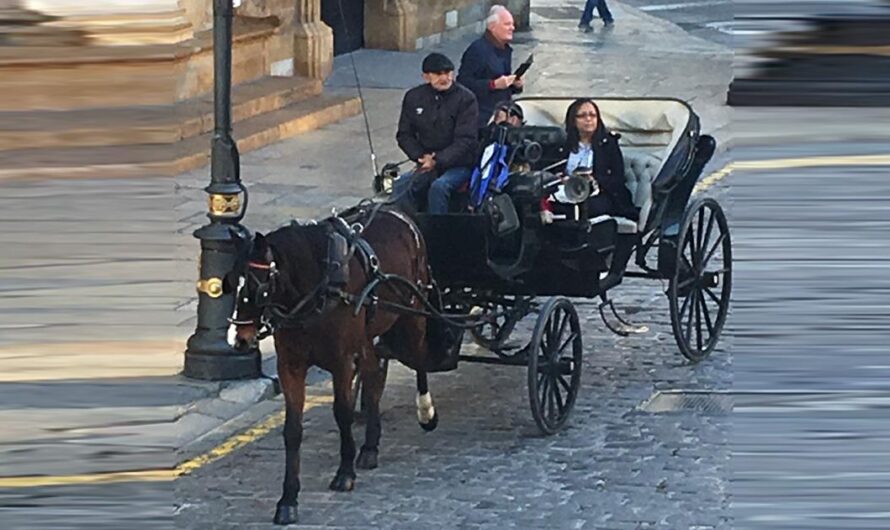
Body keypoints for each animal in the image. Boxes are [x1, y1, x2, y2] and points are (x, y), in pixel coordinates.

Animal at [232, 207, 444, 524]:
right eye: (228, 283)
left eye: (258, 287)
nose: (241, 340)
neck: (318, 290)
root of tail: (396, 212)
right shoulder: (290, 365)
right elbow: (292, 430)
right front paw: (288, 499)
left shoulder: (342, 361)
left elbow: (342, 414)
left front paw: (345, 473)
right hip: (369, 334)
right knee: (373, 377)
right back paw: (370, 446)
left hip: (413, 312)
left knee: (419, 359)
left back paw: (425, 411)